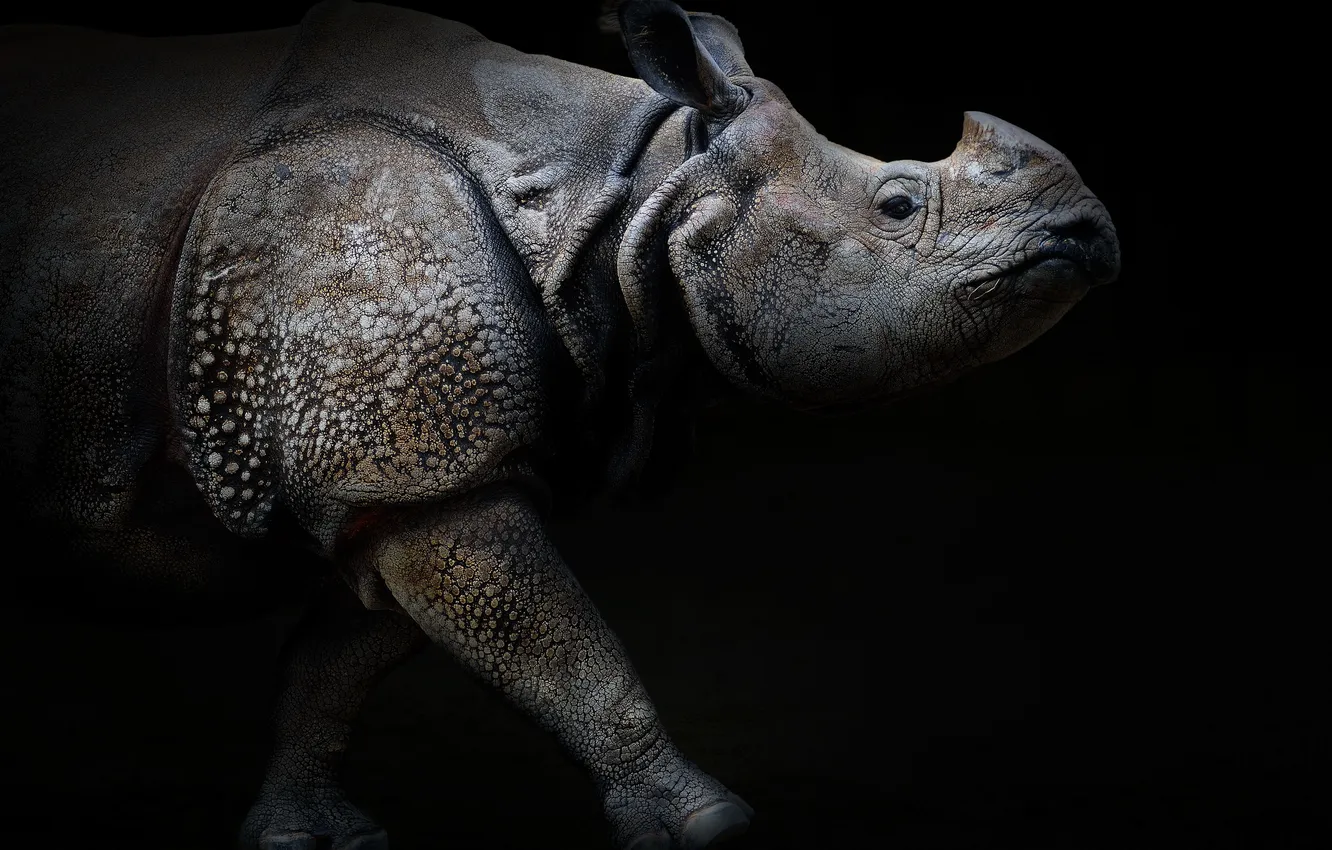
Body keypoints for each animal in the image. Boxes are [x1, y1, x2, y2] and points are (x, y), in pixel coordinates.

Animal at [0, 0, 1120, 847]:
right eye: (897, 204)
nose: (1090, 234)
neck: (632, 190)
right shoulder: (420, 458)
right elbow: (565, 649)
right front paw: (712, 827)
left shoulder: (413, 467)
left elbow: (343, 662)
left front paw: (309, 835)